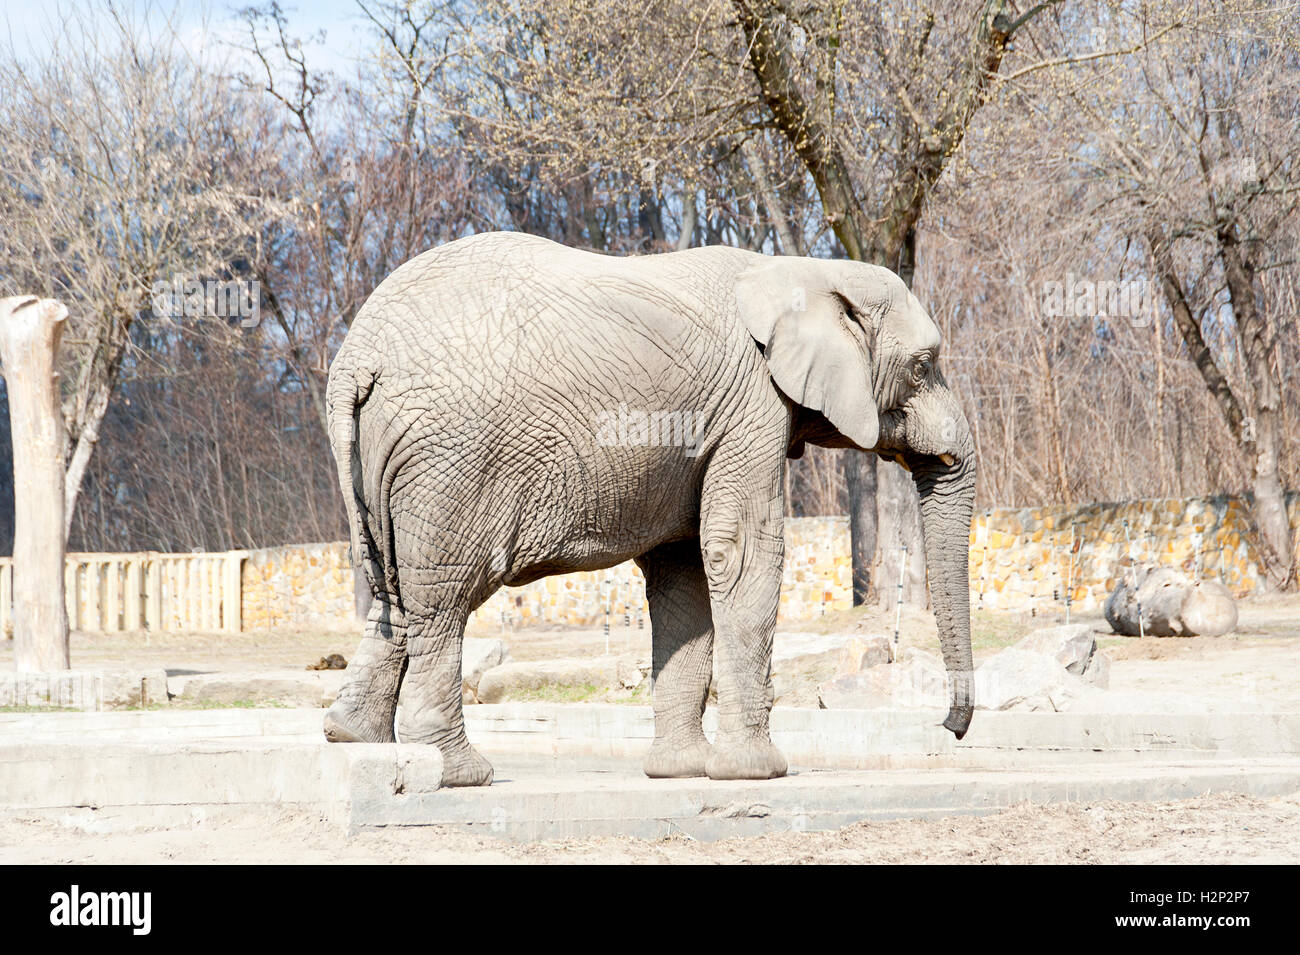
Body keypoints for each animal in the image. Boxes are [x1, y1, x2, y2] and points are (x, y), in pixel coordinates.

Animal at [322, 231, 976, 786]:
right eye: (923, 366)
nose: (946, 728)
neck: (804, 270)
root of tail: (357, 360)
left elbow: (684, 569)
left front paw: (681, 772)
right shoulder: (752, 407)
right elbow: (741, 552)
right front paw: (755, 773)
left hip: (383, 461)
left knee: (395, 590)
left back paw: (357, 742)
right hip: (453, 462)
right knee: (445, 595)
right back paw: (460, 774)